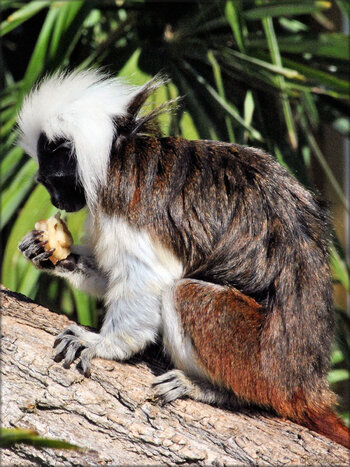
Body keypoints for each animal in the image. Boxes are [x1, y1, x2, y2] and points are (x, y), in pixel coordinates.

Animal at [17, 70, 350, 450]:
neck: (116, 154)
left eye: (53, 181)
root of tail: (304, 384)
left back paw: (215, 390)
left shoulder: (123, 201)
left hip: (257, 361)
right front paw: (51, 254)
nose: (56, 200)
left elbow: (149, 279)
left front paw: (102, 344)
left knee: (186, 294)